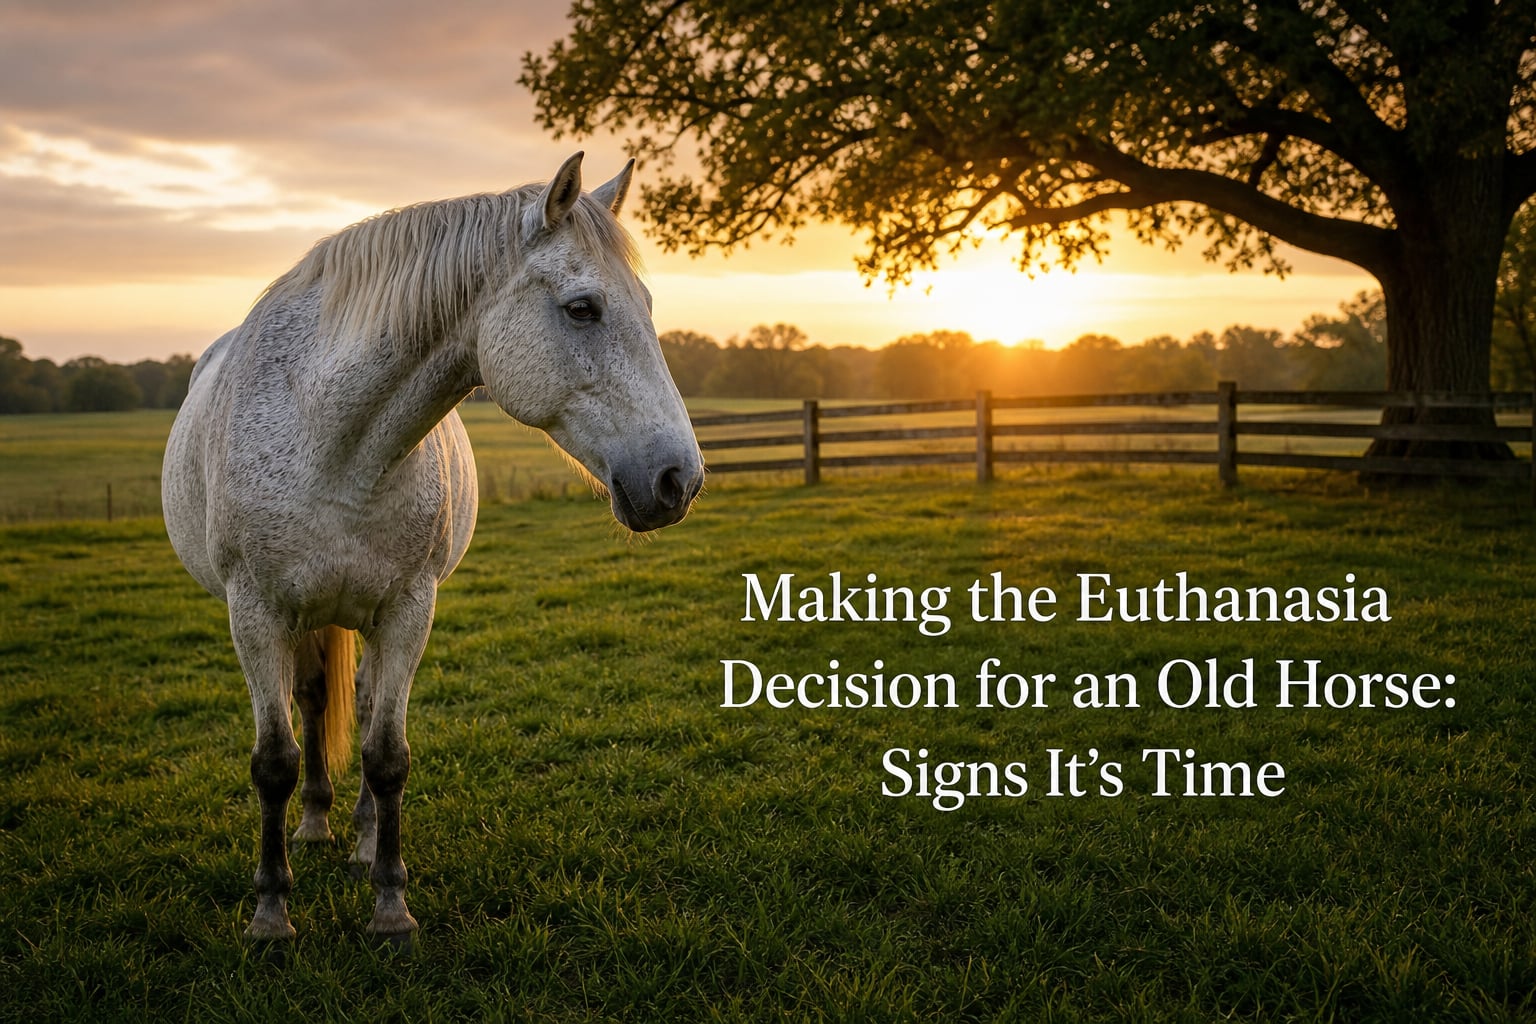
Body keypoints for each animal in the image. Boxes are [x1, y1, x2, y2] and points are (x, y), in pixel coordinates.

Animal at [162, 153, 703, 946]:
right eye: (583, 308)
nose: (678, 479)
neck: (332, 444)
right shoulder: (254, 612)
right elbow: (274, 761)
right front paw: (270, 913)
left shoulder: (408, 610)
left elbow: (387, 756)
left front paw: (390, 904)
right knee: (313, 702)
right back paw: (314, 827)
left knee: (354, 708)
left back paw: (357, 838)